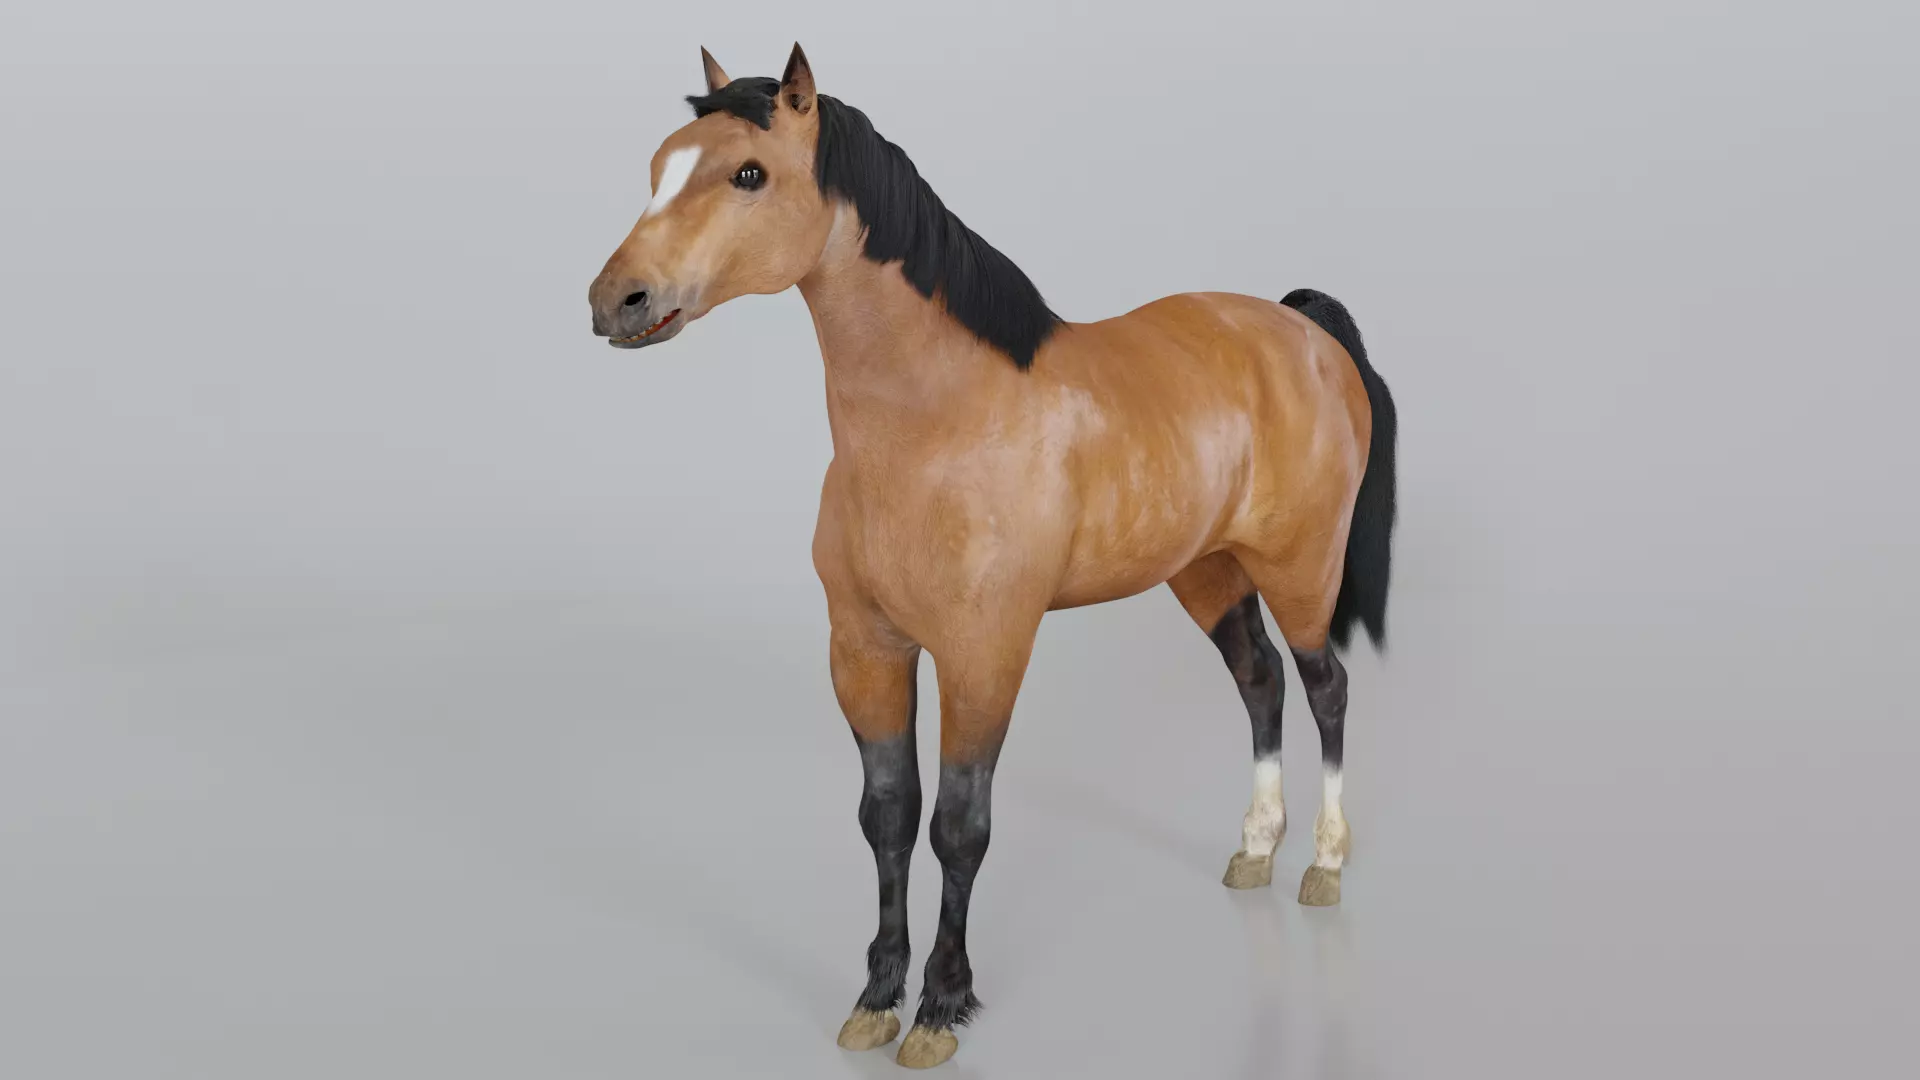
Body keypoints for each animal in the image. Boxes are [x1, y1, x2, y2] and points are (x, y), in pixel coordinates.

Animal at [587, 44, 1398, 1070]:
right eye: (660, 165)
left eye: (748, 174)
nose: (616, 301)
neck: (937, 423)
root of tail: (1303, 330)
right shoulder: (865, 649)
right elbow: (888, 815)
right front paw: (875, 997)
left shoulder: (985, 654)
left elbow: (958, 827)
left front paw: (940, 1006)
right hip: (1206, 573)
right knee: (1261, 682)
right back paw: (1254, 849)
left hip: (1300, 570)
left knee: (1327, 688)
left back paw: (1323, 865)